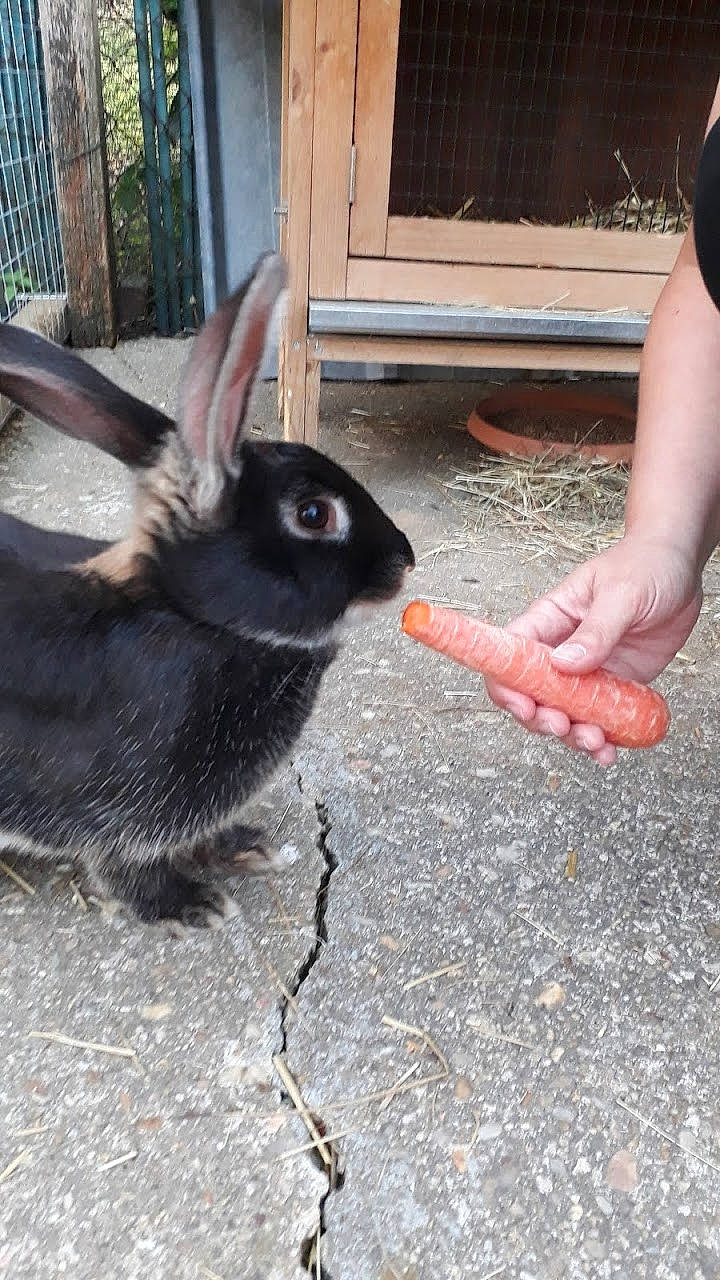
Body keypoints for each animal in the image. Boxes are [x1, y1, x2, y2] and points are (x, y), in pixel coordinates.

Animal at [0, 253, 414, 927]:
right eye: (314, 515)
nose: (405, 559)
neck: (192, 617)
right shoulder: (115, 812)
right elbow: (123, 867)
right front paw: (190, 907)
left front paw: (242, 847)